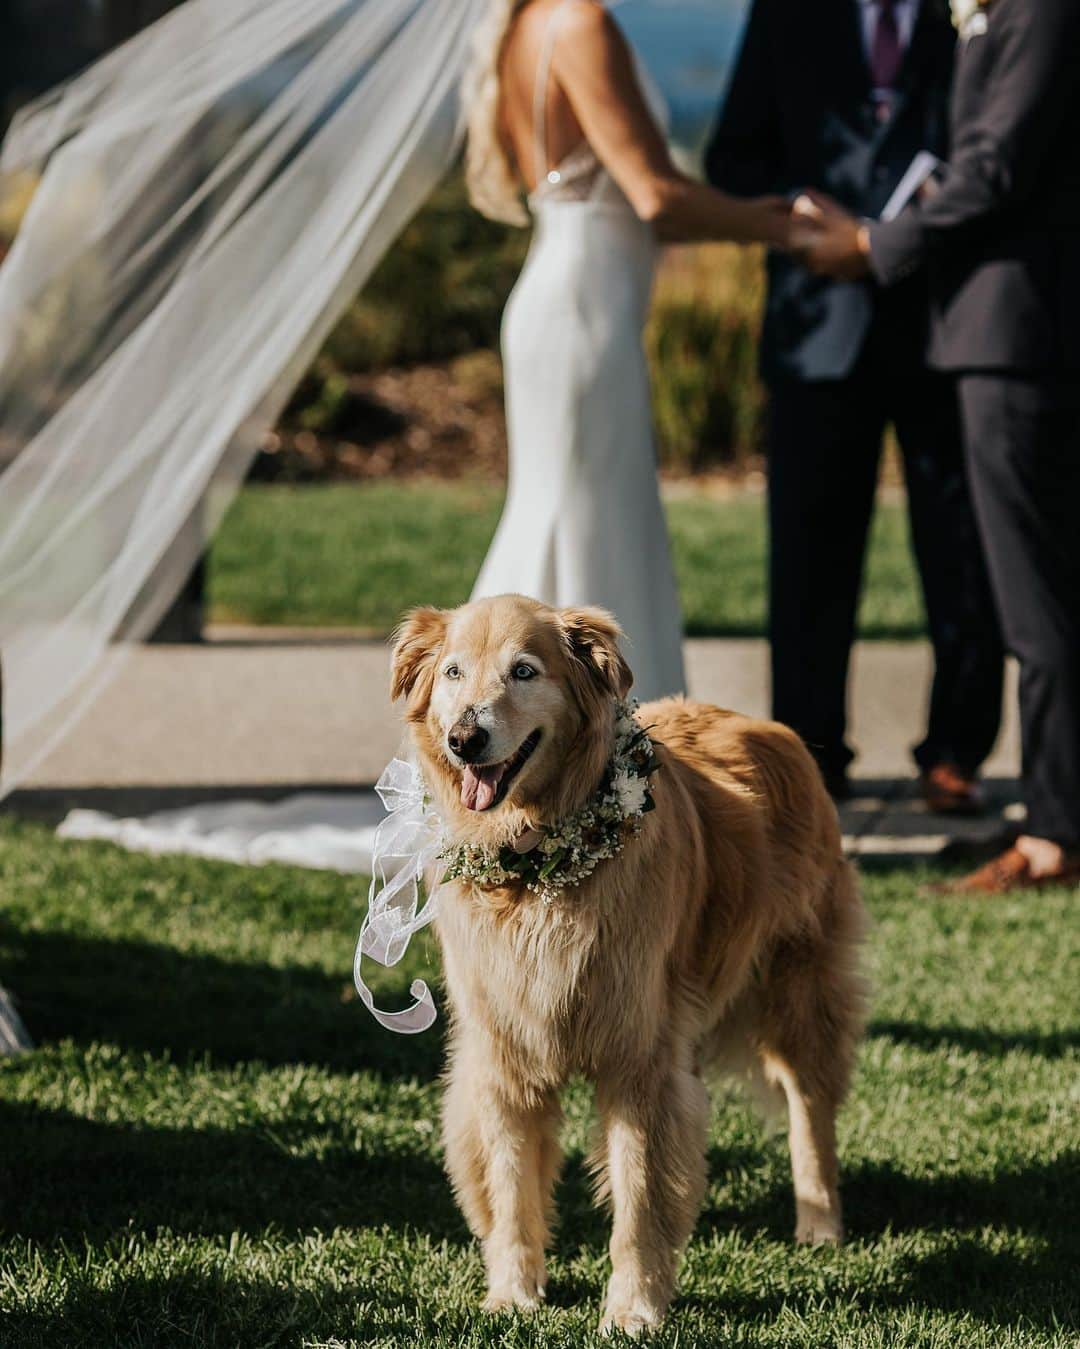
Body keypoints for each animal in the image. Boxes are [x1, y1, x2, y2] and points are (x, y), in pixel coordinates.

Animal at [391, 596, 862, 1332]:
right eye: (452, 672)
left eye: (524, 671)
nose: (466, 738)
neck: (535, 874)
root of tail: (772, 729)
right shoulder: (504, 1054)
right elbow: (511, 1184)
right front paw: (513, 1294)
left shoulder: (639, 1059)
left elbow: (640, 1196)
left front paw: (633, 1309)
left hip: (798, 991)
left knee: (811, 1105)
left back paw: (820, 1224)